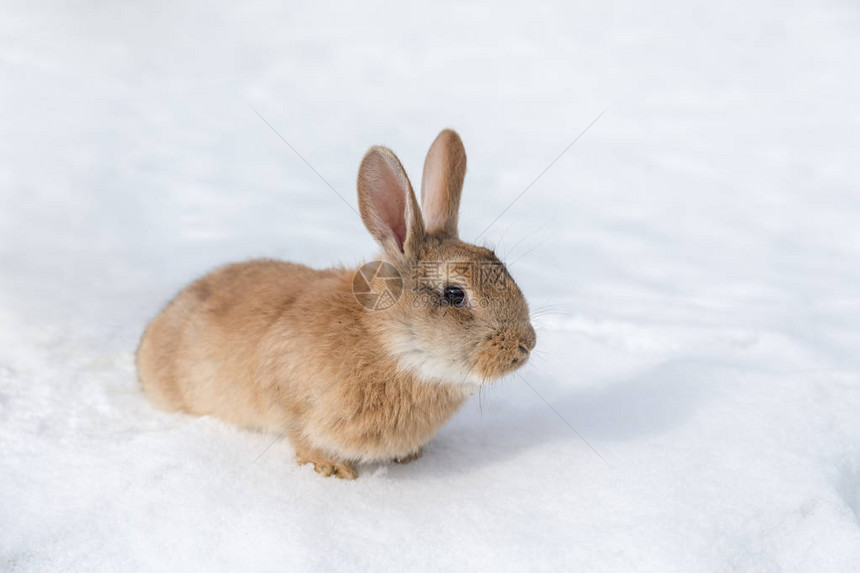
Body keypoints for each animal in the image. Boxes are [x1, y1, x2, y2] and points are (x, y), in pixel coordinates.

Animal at [137, 130, 536, 478]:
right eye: (455, 294)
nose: (526, 344)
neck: (391, 345)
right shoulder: (288, 394)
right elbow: (300, 435)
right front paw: (333, 469)